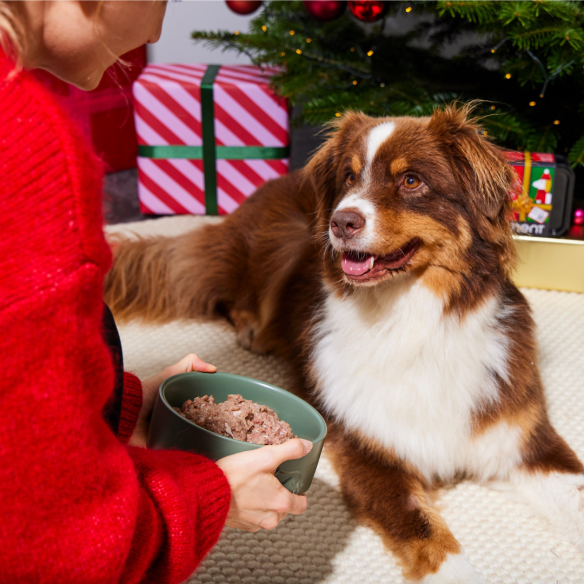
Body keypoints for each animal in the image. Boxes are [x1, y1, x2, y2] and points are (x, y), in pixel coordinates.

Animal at [106, 106, 584, 584]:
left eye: (412, 180)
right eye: (350, 177)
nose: (341, 221)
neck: (411, 316)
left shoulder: (522, 441)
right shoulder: (370, 453)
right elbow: (431, 539)